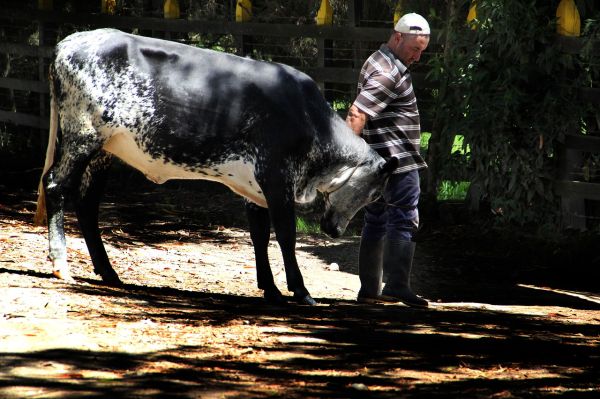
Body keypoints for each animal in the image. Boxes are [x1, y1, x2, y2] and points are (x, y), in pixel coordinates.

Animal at [34, 29, 398, 306]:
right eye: (374, 193)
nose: (335, 231)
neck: (312, 121)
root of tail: (71, 41)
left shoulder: (255, 186)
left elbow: (259, 235)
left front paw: (271, 289)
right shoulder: (276, 177)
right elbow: (285, 235)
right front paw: (300, 290)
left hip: (105, 150)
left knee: (87, 204)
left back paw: (109, 272)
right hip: (83, 136)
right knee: (55, 186)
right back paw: (61, 263)